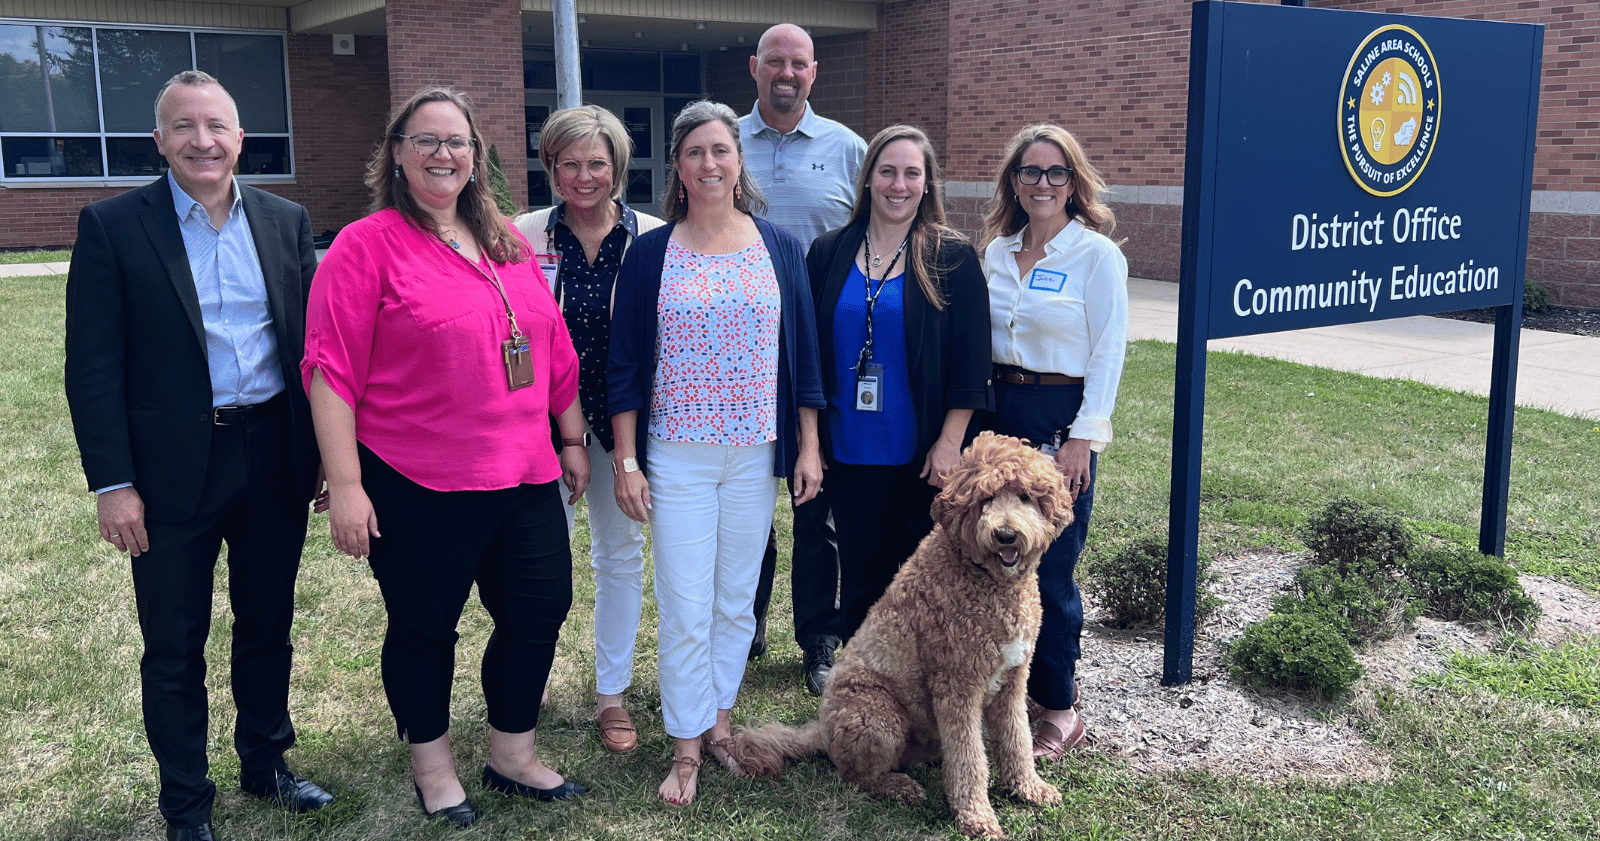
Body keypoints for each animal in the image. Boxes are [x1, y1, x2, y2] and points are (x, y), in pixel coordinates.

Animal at [736, 431, 1075, 837]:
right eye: (984, 499)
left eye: (1025, 497)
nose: (1006, 535)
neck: (985, 578)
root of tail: (823, 731)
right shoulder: (958, 687)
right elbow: (969, 759)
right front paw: (977, 816)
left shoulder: (1012, 679)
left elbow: (1016, 739)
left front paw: (1028, 787)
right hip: (877, 714)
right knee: (856, 775)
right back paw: (899, 786)